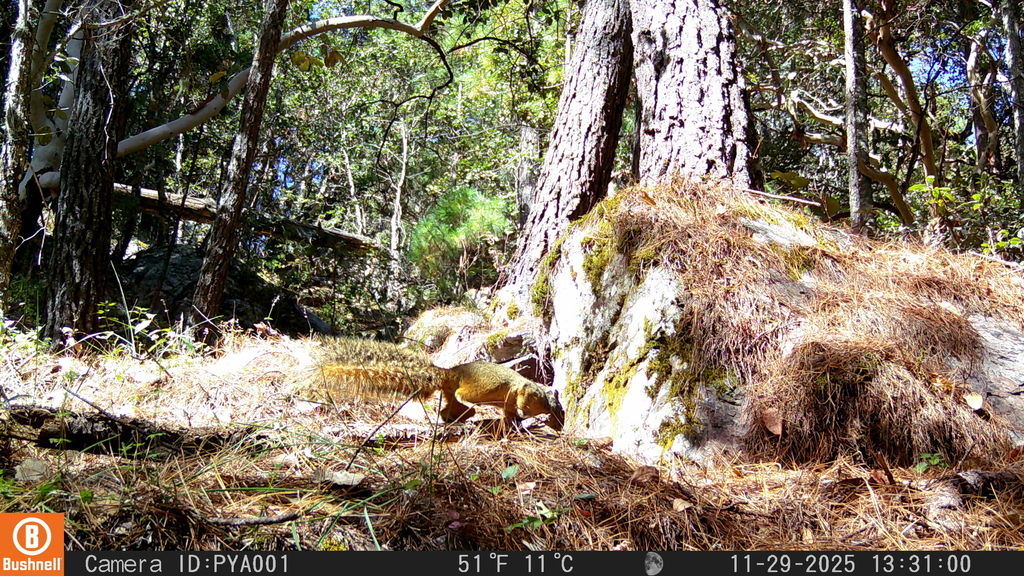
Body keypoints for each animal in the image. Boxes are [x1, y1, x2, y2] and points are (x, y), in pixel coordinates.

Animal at [304, 338, 565, 431]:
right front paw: (523, 415)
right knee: (464, 398)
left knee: (448, 409)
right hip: (480, 387)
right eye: (554, 406)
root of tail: (450, 374)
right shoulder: (525, 391)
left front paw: (515, 421)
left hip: (452, 396)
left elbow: (509, 413)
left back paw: (452, 419)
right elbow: (520, 401)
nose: (558, 421)